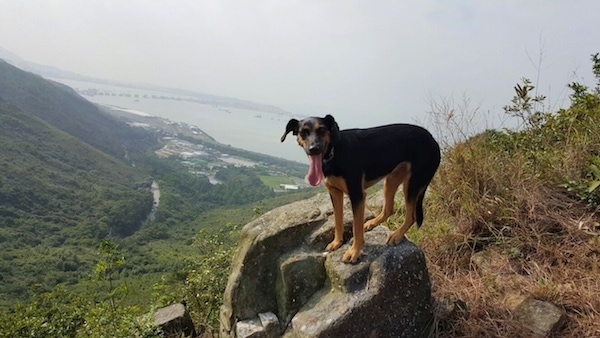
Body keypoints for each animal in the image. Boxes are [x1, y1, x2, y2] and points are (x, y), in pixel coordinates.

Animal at [282, 115, 440, 262]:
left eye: (321, 130)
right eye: (303, 132)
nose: (313, 149)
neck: (335, 152)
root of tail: (433, 140)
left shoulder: (357, 195)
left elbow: (356, 228)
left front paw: (354, 252)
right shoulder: (335, 193)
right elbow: (337, 221)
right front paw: (337, 242)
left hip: (413, 183)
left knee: (411, 216)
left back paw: (397, 235)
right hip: (391, 180)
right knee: (388, 209)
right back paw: (372, 223)